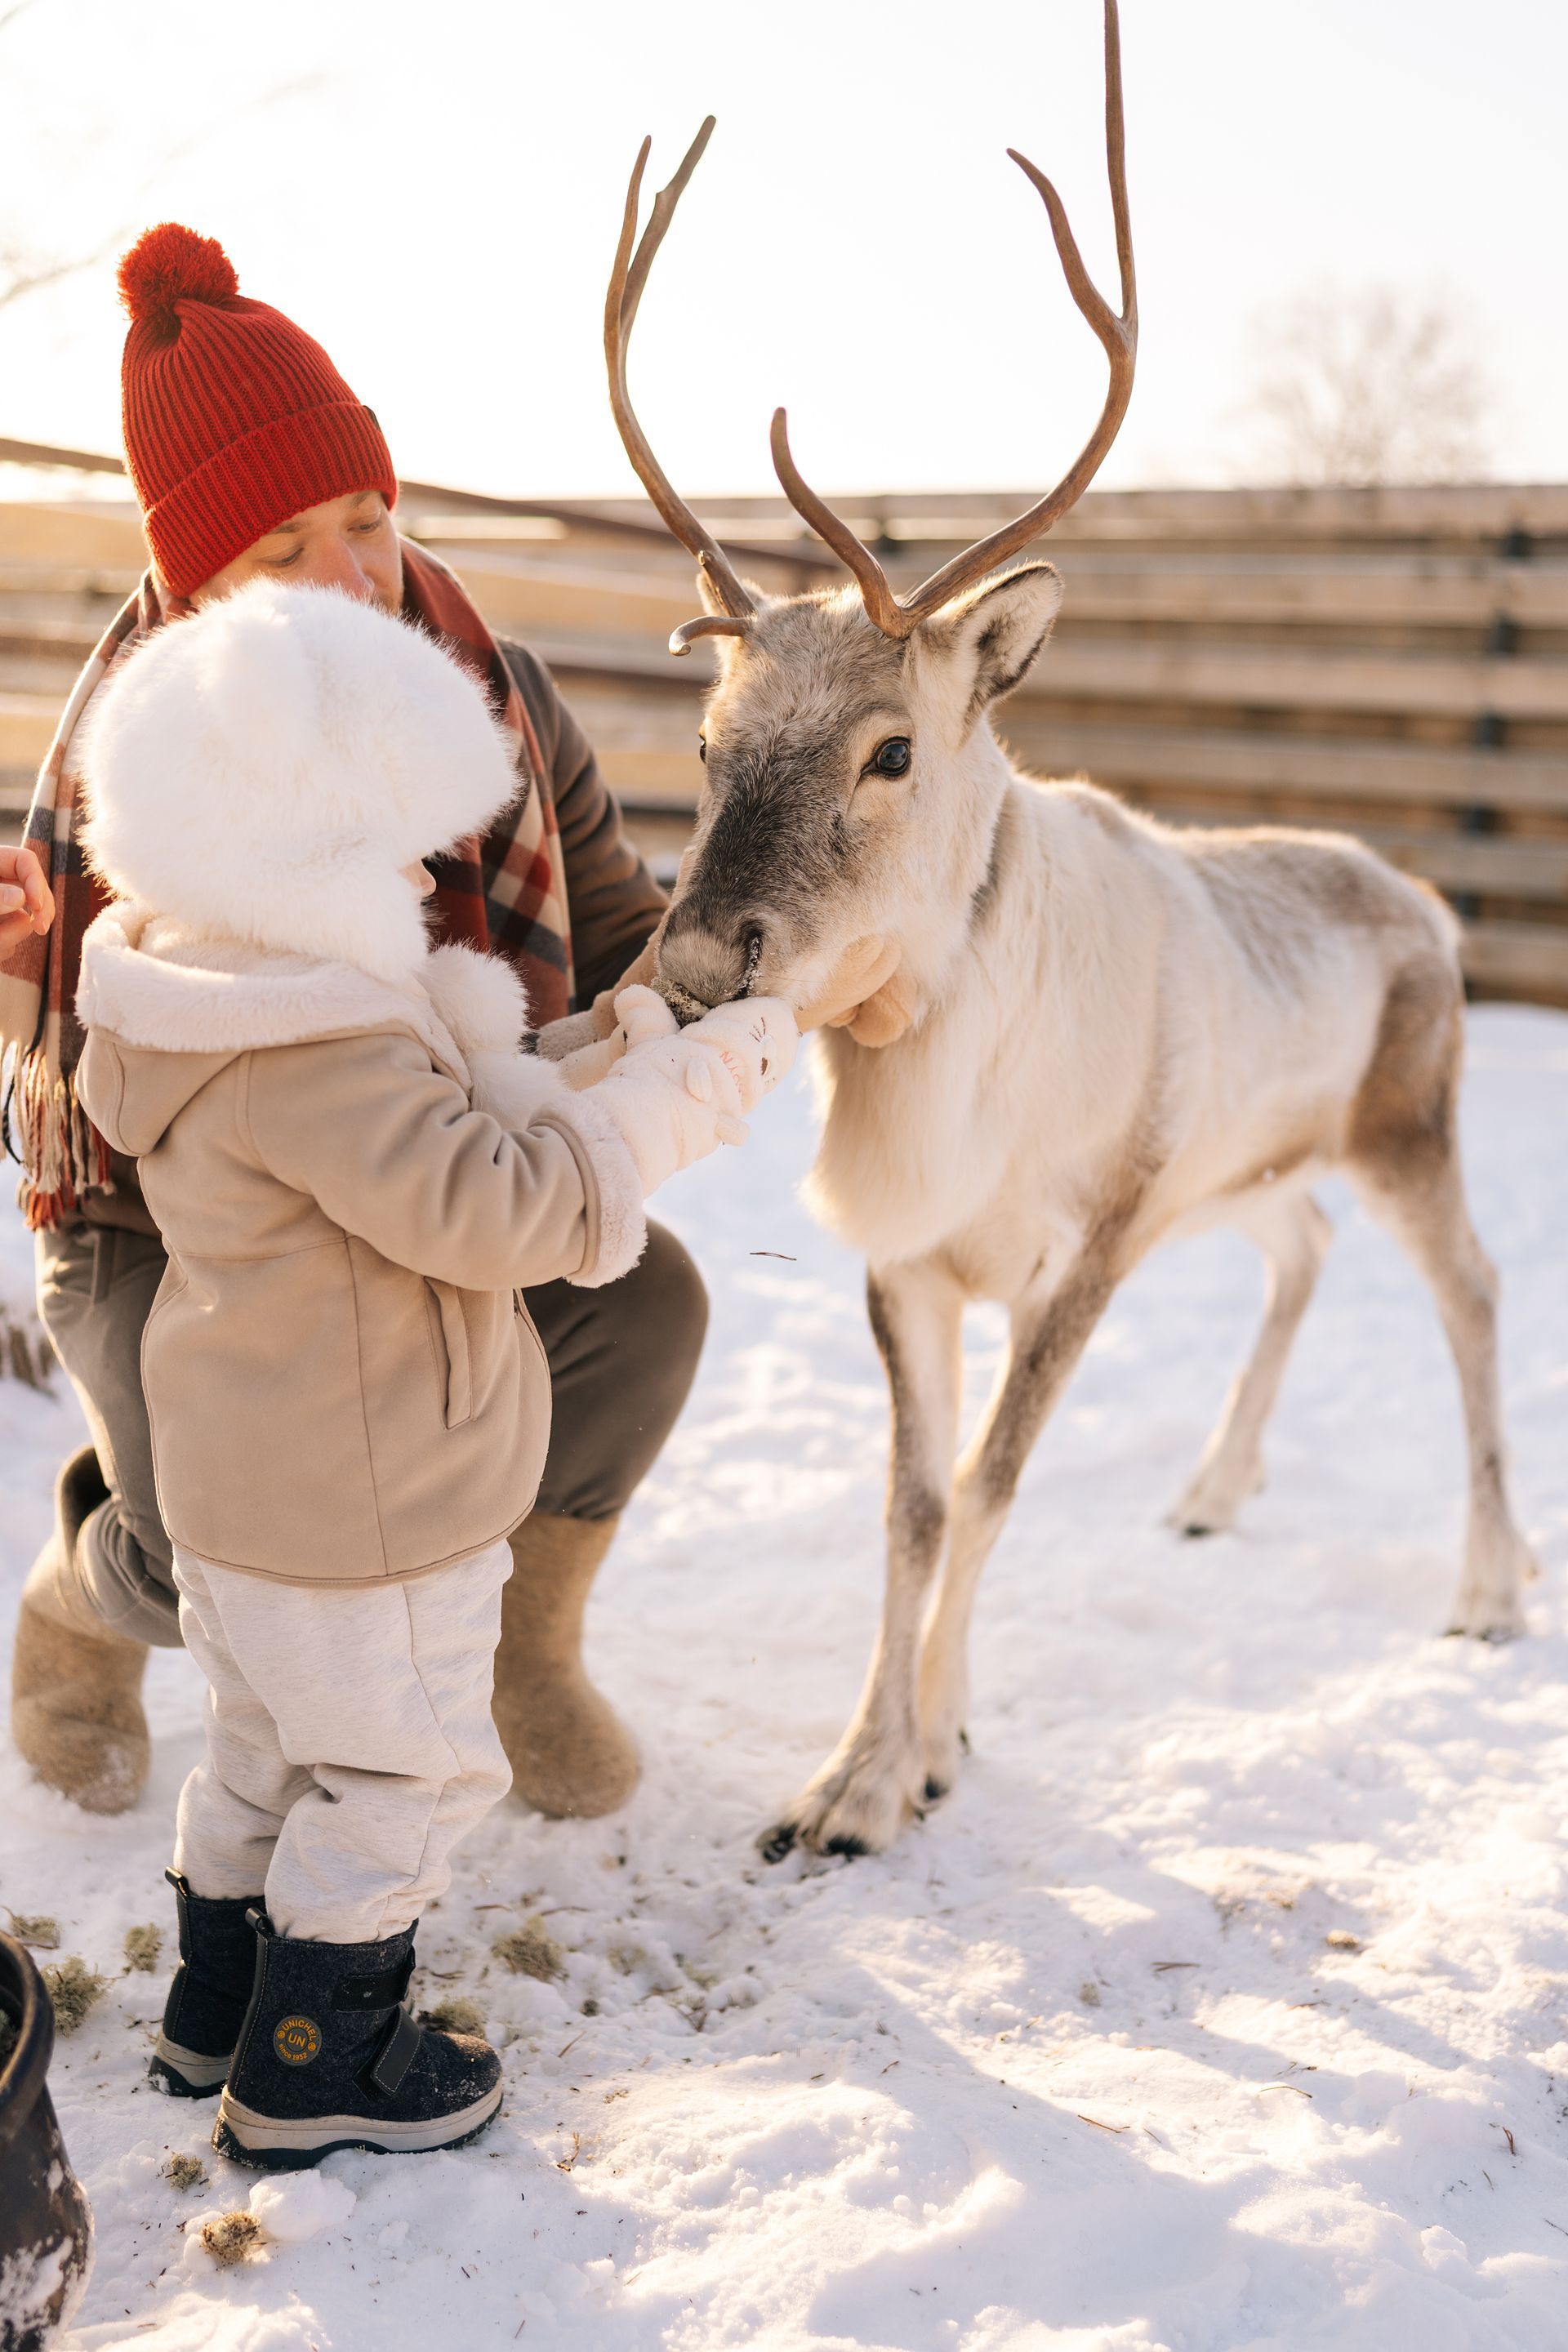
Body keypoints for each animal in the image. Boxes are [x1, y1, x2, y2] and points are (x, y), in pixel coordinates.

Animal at [598, 0, 1537, 1861]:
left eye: (894, 747)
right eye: (709, 736)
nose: (699, 960)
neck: (954, 1083)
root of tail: (1420, 896)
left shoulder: (1089, 1241)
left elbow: (990, 1485)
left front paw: (910, 1773)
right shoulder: (907, 1258)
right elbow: (908, 1502)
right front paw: (855, 1767)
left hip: (1405, 1123)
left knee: (1467, 1287)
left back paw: (1486, 1589)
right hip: (1243, 1168)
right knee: (1300, 1245)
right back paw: (1213, 1491)